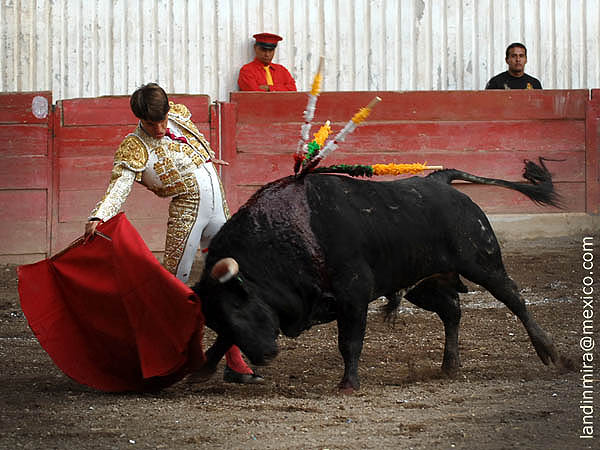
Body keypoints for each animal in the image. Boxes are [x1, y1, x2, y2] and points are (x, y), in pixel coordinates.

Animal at [193, 161, 568, 390]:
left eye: (240, 308)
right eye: (217, 318)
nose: (265, 355)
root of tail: (438, 181)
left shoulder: (354, 294)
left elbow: (350, 341)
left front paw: (348, 384)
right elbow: (222, 342)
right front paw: (201, 368)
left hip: (483, 261)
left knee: (514, 298)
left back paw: (550, 352)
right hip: (422, 283)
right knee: (452, 311)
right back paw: (450, 364)